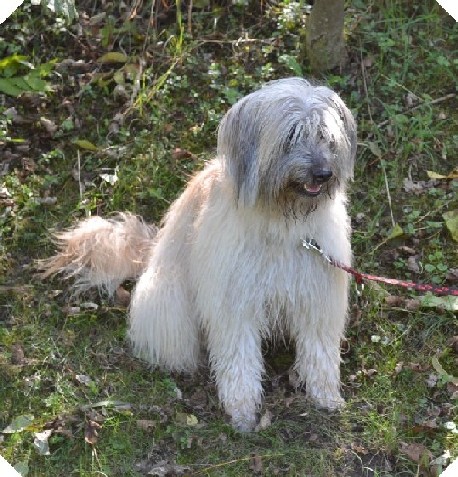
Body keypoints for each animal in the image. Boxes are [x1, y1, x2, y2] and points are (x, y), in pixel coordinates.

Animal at [42, 77, 357, 431]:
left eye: (325, 136)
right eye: (291, 136)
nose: (323, 173)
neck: (282, 223)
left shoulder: (317, 298)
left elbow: (320, 352)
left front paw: (326, 397)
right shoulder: (233, 303)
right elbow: (239, 359)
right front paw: (242, 411)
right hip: (169, 297)